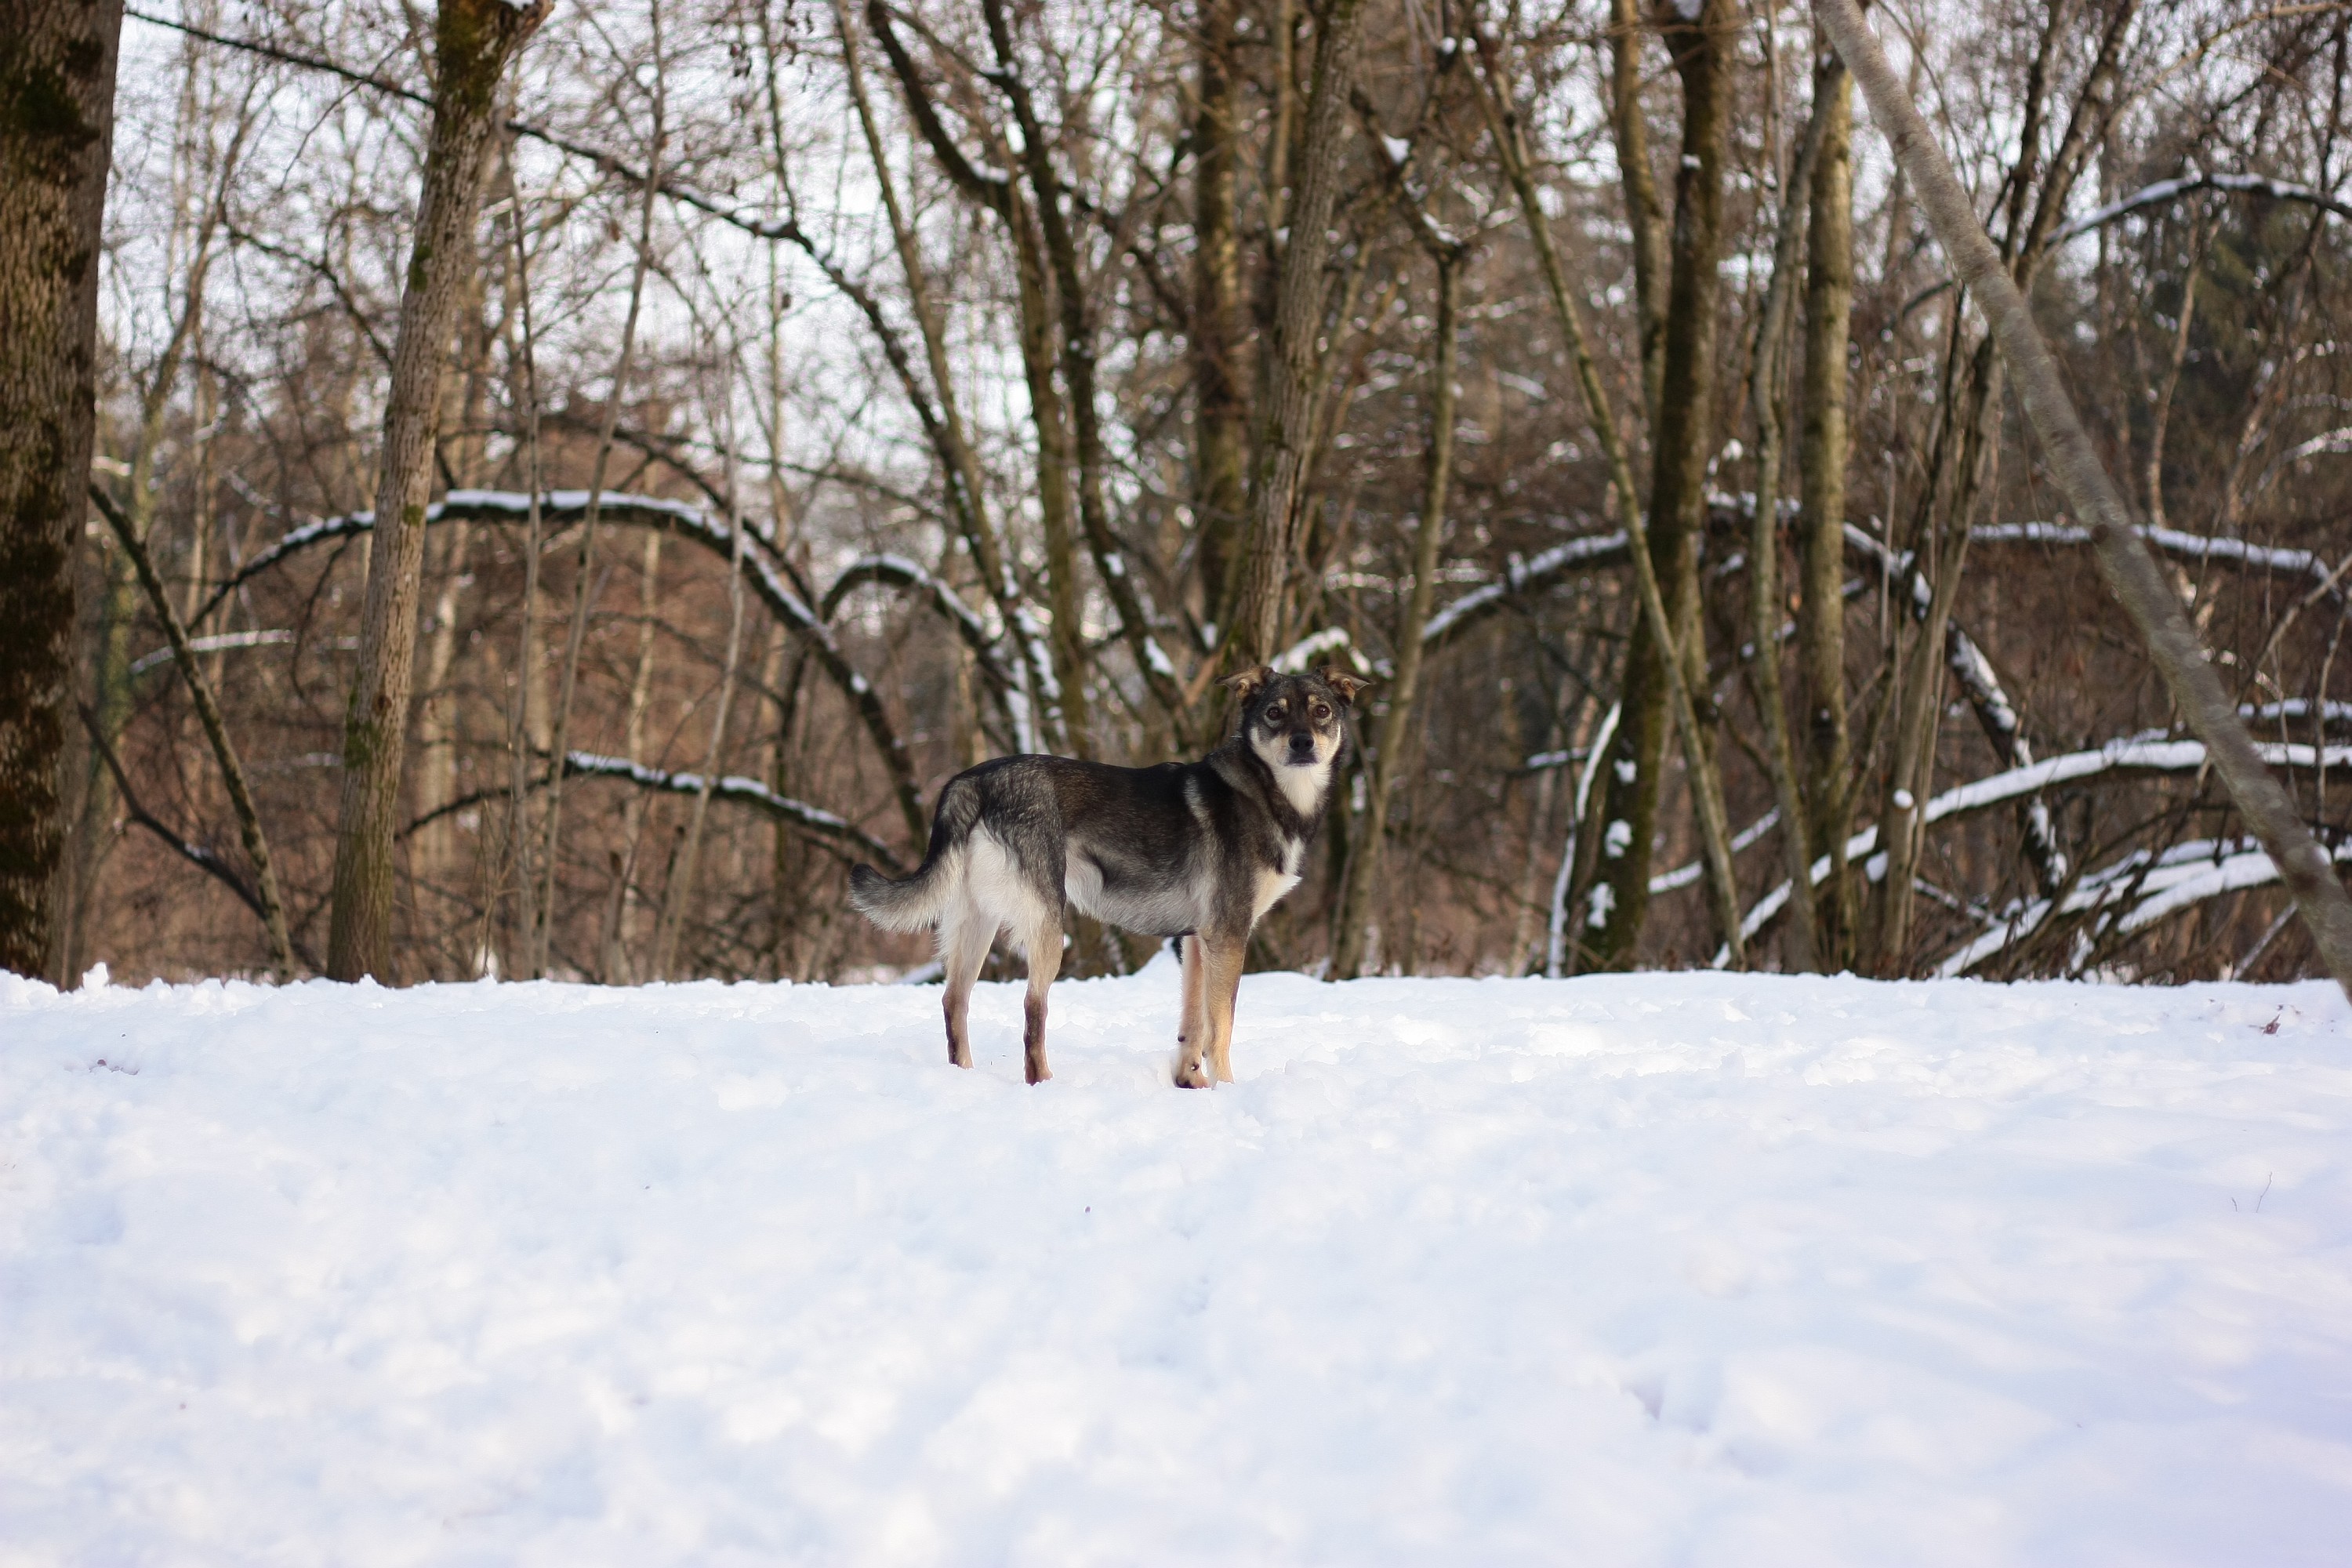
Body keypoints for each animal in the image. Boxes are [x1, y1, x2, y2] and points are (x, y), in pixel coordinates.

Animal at [847, 664, 1370, 1087]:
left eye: (1322, 711)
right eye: (1275, 714)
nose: (1302, 744)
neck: (1266, 790)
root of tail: (972, 782)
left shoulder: (1196, 941)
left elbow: (1193, 1026)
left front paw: (1192, 1085)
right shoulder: (1228, 936)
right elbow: (1221, 1027)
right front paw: (1227, 1090)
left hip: (978, 922)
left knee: (954, 1002)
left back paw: (966, 1080)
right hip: (1047, 925)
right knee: (1032, 1012)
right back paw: (1045, 1085)